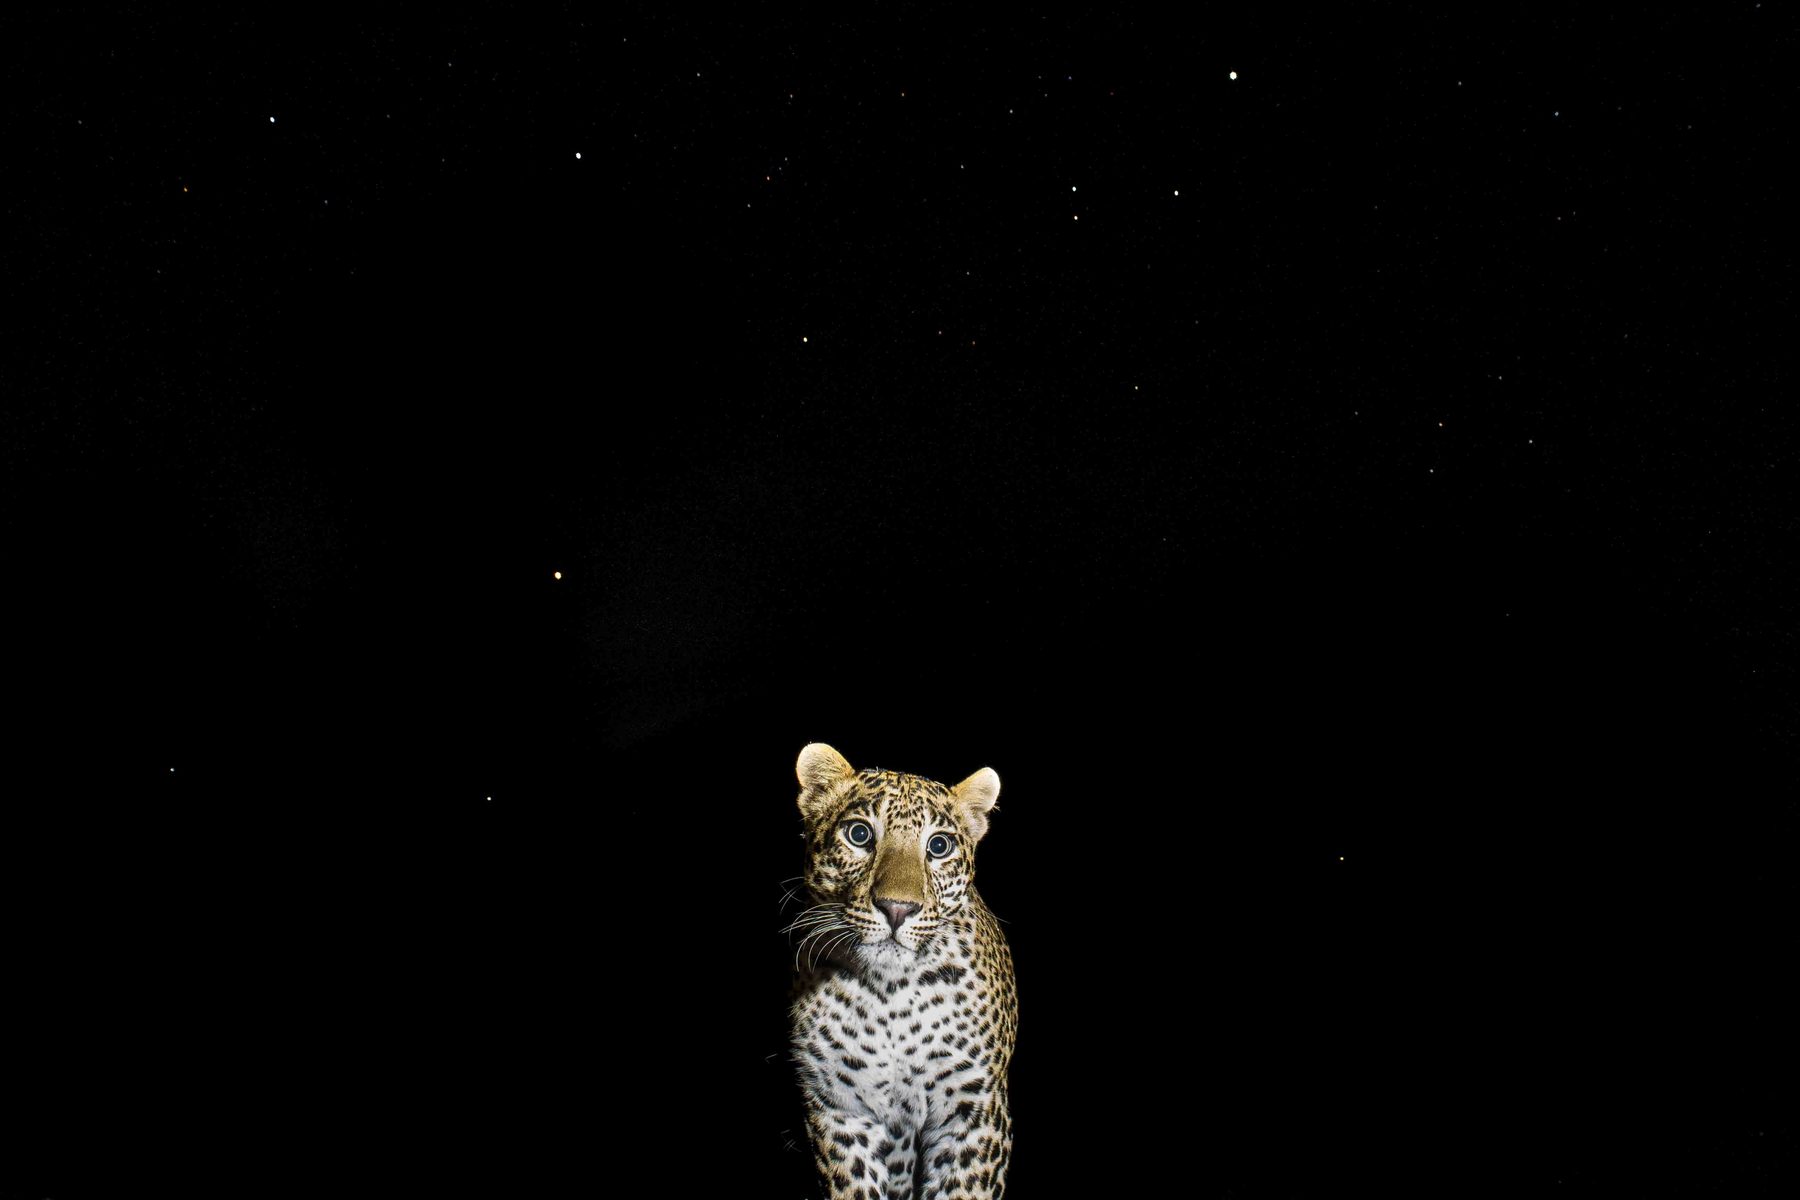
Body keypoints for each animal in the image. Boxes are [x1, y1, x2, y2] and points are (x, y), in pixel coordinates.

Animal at [788, 743, 1018, 1200]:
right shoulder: (837, 1106)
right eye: (859, 835)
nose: (897, 908)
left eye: (939, 846)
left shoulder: (974, 1112)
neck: (891, 996)